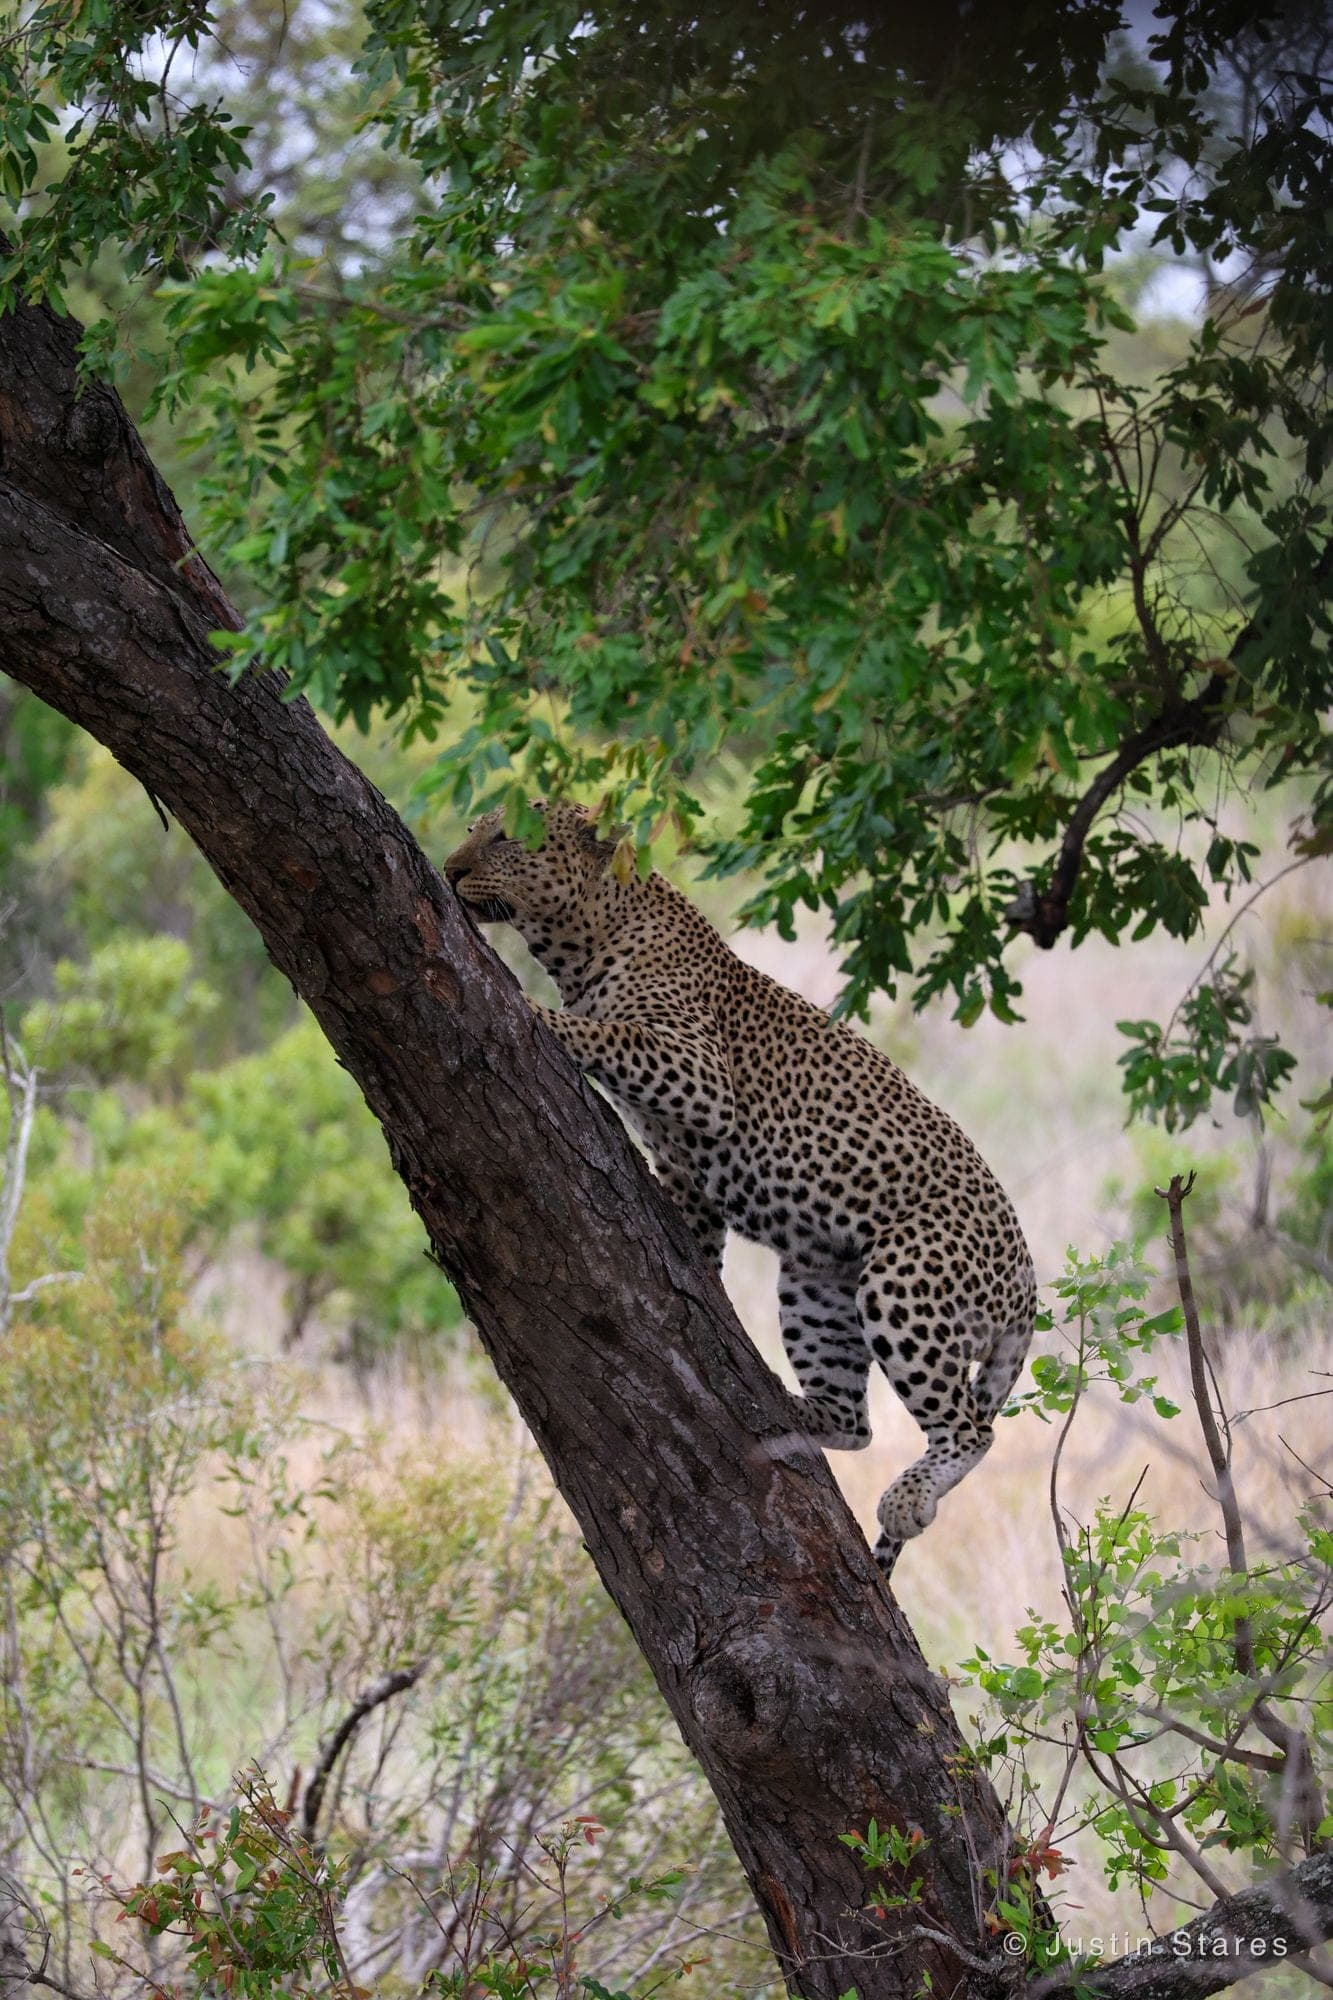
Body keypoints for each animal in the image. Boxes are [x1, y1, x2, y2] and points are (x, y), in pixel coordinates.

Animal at [443, 802, 1036, 1576]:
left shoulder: (699, 1073)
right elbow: (694, 1230)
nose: (448, 869)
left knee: (970, 1429)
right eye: (475, 832)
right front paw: (696, 1276)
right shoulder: (683, 1168)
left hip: (906, 1279)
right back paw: (785, 1405)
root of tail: (1028, 1284)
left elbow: (605, 1033)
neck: (582, 943)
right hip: (817, 1283)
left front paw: (532, 1012)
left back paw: (905, 1498)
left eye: (508, 837)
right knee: (855, 1423)